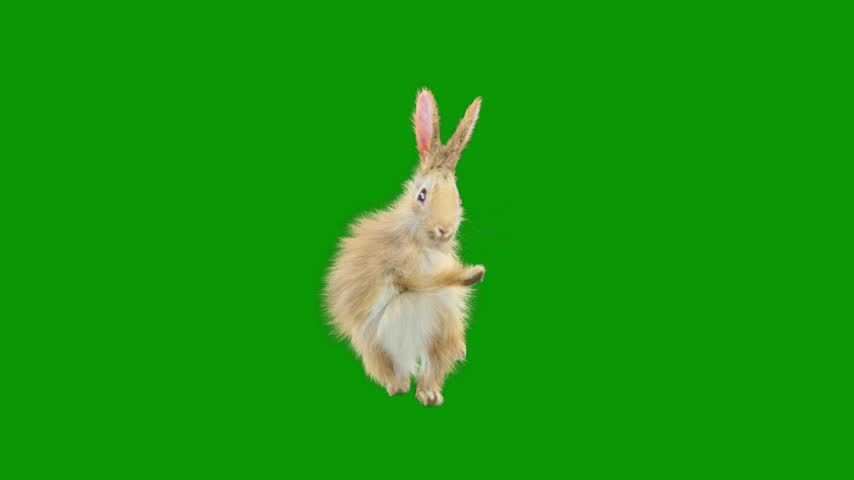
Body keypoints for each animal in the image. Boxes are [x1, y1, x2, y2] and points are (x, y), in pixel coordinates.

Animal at [325, 89, 486, 406]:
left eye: (459, 199)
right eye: (421, 195)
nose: (444, 229)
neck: (422, 241)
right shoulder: (402, 267)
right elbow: (427, 280)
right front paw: (473, 273)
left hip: (439, 337)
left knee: (432, 367)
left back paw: (429, 395)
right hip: (379, 346)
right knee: (393, 369)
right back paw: (399, 388)